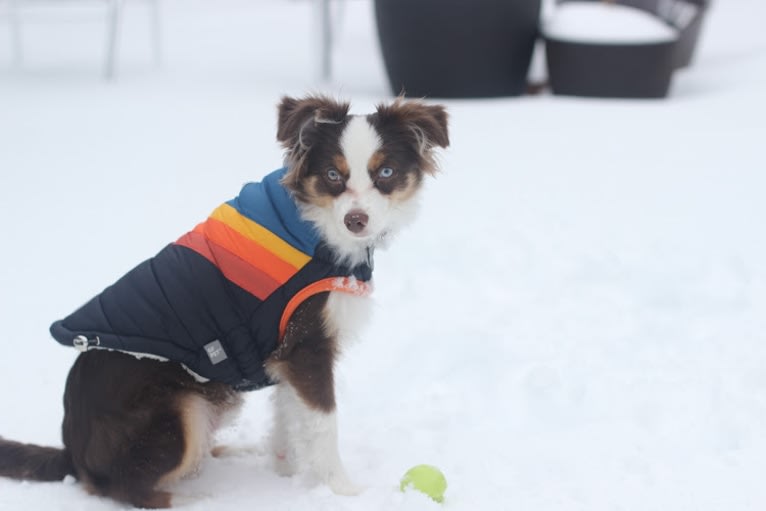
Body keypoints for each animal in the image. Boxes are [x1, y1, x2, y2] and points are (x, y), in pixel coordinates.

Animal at [0, 96, 450, 508]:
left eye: (386, 172)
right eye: (332, 174)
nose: (356, 221)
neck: (312, 226)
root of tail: (72, 452)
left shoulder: (283, 352)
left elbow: (288, 418)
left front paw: (285, 471)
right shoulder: (307, 348)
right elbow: (323, 424)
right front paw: (344, 490)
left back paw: (232, 454)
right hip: (182, 407)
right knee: (125, 487)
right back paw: (199, 497)